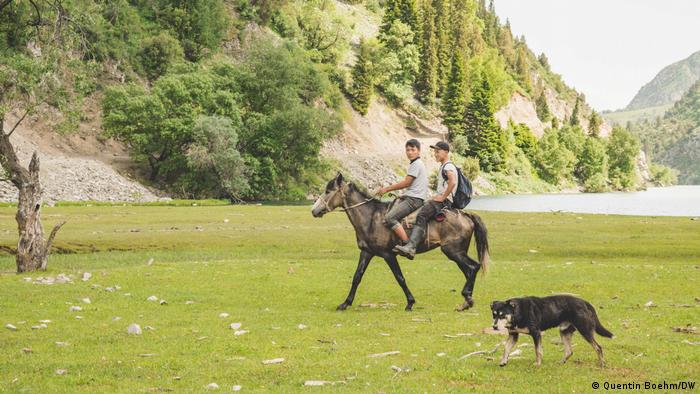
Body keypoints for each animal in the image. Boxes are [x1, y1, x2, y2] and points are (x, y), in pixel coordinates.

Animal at [308, 174, 490, 312]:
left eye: (328, 191)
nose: (314, 211)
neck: (371, 218)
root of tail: (466, 215)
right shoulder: (367, 252)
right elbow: (357, 277)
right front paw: (345, 303)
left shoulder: (388, 255)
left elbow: (400, 278)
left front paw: (410, 302)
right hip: (457, 253)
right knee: (469, 270)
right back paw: (467, 301)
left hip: (453, 251)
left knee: (474, 267)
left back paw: (466, 297)